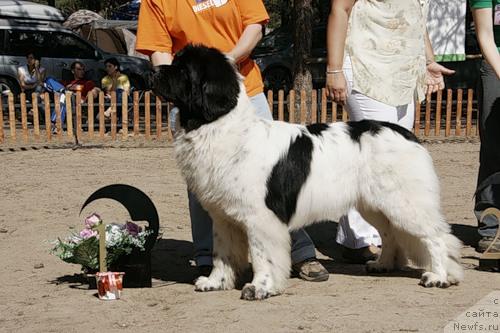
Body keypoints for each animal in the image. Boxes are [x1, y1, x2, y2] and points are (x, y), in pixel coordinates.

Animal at [152, 44, 464, 300]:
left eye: (183, 70)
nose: (154, 71)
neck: (219, 125)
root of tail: (407, 134)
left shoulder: (260, 217)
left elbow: (263, 255)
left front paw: (260, 287)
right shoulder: (223, 216)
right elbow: (222, 253)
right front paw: (215, 282)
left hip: (405, 202)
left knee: (435, 237)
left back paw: (439, 277)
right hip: (374, 204)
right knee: (390, 234)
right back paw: (382, 264)